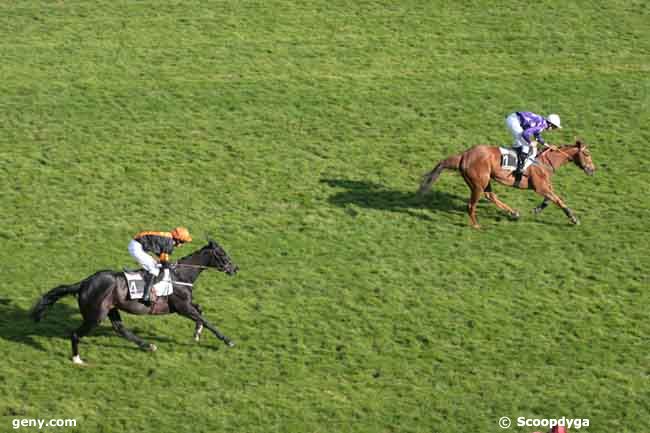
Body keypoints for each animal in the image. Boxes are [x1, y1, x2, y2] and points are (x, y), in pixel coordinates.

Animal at [31, 238, 238, 362]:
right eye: (222, 254)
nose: (235, 268)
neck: (181, 275)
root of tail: (84, 283)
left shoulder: (186, 305)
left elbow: (200, 311)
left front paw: (197, 333)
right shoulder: (182, 307)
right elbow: (206, 320)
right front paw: (227, 341)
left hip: (111, 309)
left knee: (120, 329)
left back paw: (148, 345)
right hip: (95, 316)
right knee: (75, 334)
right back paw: (77, 359)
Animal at [418, 140, 596, 228]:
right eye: (587, 154)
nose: (592, 169)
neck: (545, 161)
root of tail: (463, 155)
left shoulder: (545, 186)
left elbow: (550, 199)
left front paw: (537, 209)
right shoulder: (540, 187)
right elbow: (558, 200)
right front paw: (573, 218)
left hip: (483, 181)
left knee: (490, 195)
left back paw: (513, 212)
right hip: (478, 183)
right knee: (471, 205)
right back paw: (476, 225)